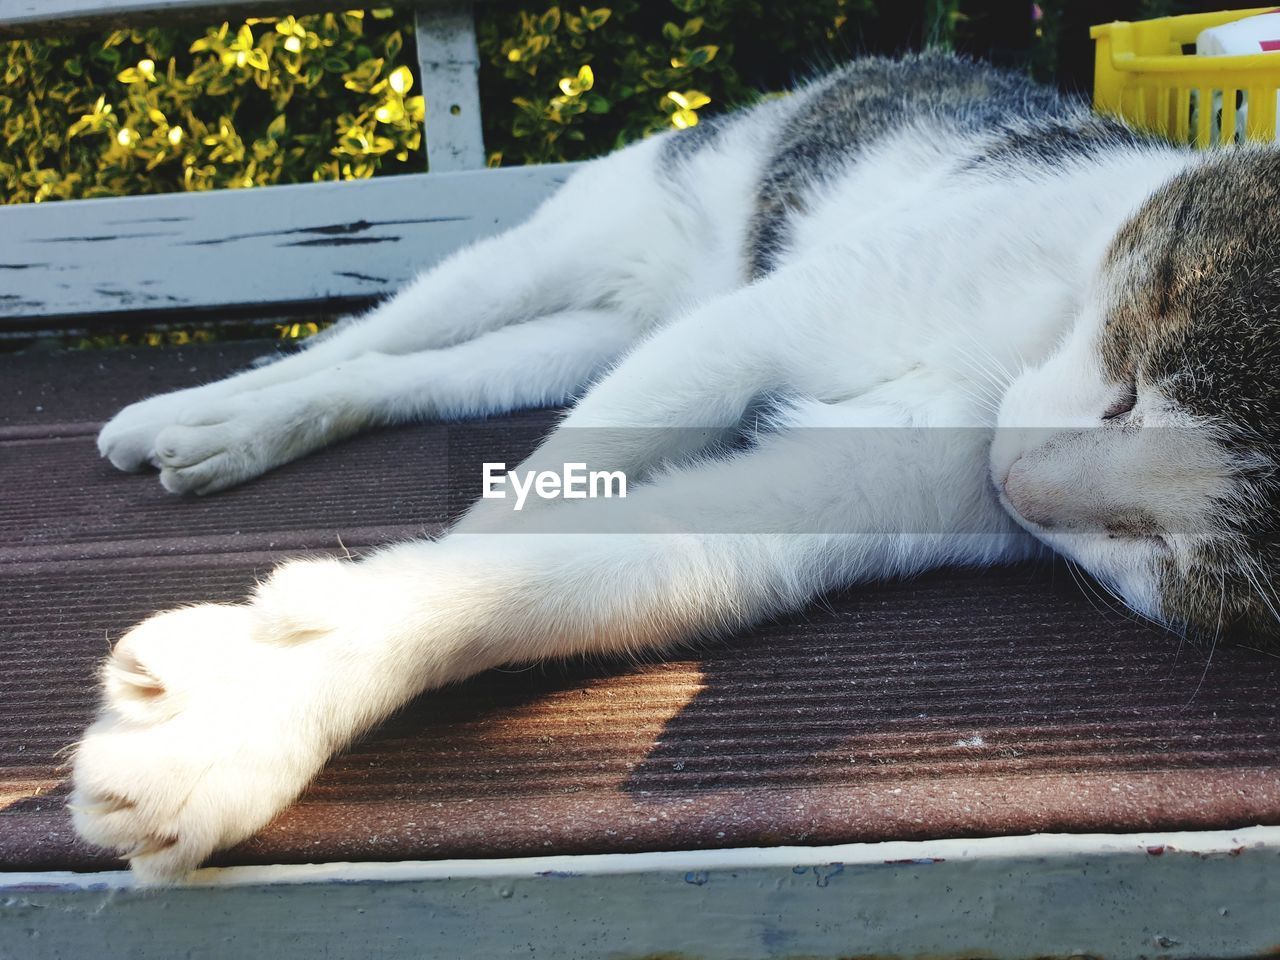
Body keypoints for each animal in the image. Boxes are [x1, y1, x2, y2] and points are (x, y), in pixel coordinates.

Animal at [67, 50, 1280, 880]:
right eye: (1128, 375)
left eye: (1160, 550)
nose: (1014, 483)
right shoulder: (757, 327)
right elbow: (523, 513)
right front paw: (263, 689)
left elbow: (607, 554)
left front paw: (284, 691)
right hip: (578, 240)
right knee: (374, 329)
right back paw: (200, 412)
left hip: (585, 337)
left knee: (414, 373)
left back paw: (242, 427)